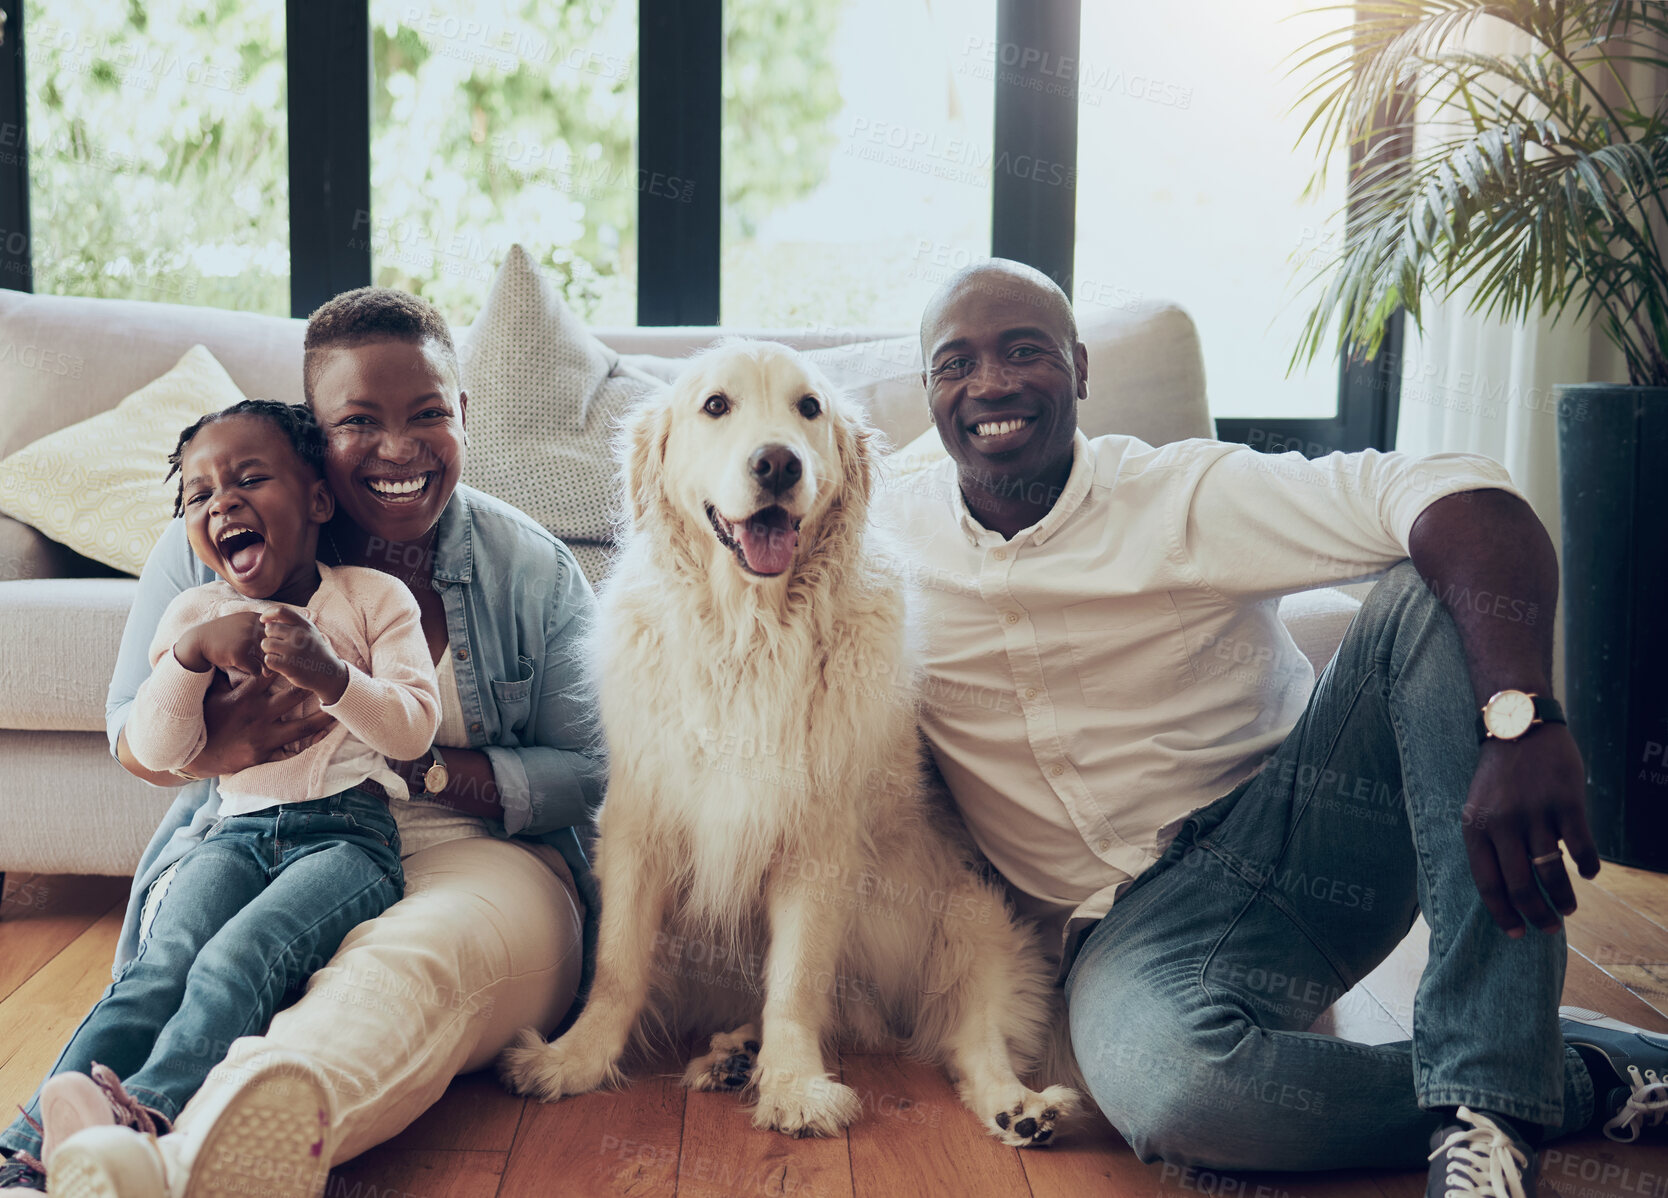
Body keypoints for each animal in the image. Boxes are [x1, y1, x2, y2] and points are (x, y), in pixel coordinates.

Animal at [493, 342, 1080, 1147]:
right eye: (716, 406)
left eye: (809, 409)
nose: (777, 464)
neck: (751, 631)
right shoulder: (639, 821)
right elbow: (616, 964)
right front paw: (573, 1059)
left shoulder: (819, 840)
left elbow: (797, 984)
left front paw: (795, 1085)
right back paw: (733, 1055)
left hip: (974, 922)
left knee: (973, 1041)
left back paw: (1020, 1109)